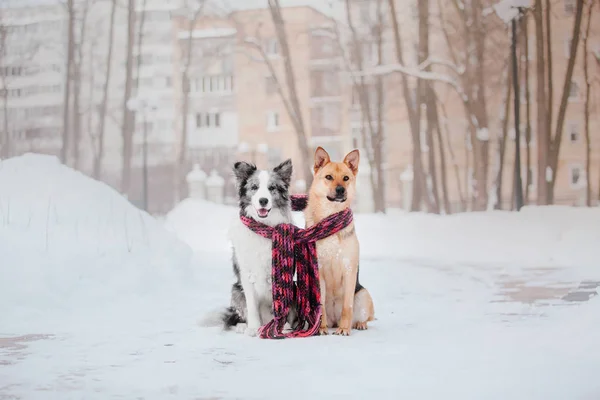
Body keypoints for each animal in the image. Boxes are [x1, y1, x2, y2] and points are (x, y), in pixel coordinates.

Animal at [220, 158, 296, 336]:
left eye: (272, 188)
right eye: (254, 187)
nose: (263, 201)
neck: (263, 226)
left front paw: (281, 326)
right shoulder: (246, 274)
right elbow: (252, 306)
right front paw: (254, 328)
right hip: (235, 290)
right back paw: (243, 326)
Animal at [308, 147, 372, 334]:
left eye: (346, 178)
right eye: (329, 177)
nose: (340, 190)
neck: (331, 216)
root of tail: (334, 320)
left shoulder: (349, 269)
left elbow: (347, 306)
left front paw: (344, 329)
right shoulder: (319, 270)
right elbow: (320, 305)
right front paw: (320, 328)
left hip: (363, 294)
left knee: (365, 316)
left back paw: (358, 324)